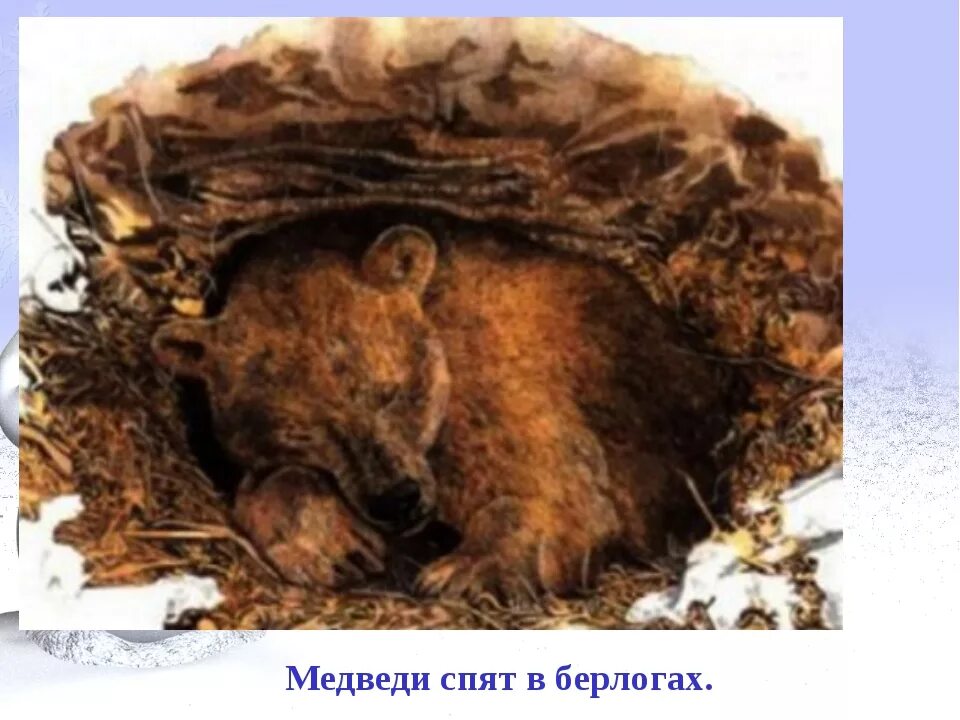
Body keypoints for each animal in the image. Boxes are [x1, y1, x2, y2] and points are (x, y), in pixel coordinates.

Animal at [152, 224, 742, 603]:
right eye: (299, 430)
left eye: (390, 391)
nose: (397, 499)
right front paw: (339, 546)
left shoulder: (492, 382)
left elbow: (563, 492)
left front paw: (465, 569)